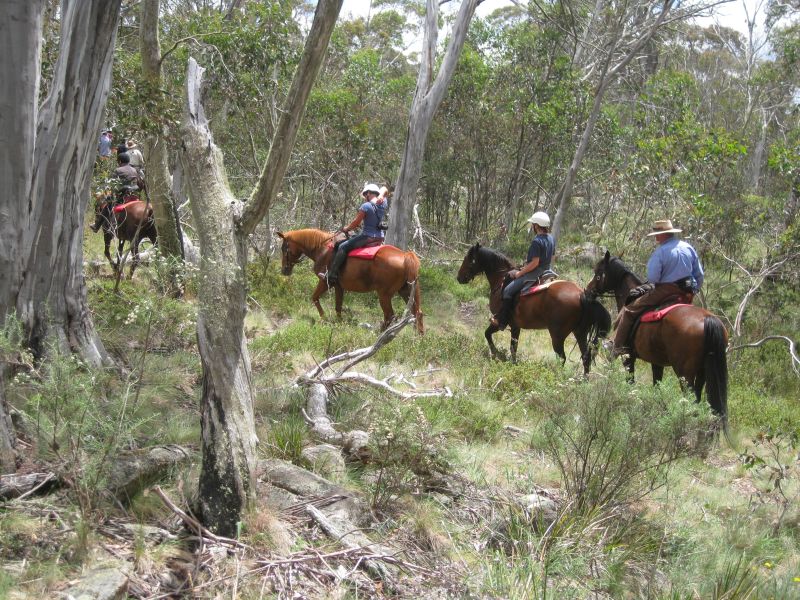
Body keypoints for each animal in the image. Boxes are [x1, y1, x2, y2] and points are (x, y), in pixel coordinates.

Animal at [276, 229, 424, 336]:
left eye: (284, 248)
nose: (284, 270)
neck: (322, 249)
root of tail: (405, 256)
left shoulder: (325, 282)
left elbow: (315, 298)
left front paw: (324, 318)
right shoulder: (338, 286)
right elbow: (338, 306)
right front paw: (339, 323)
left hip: (384, 295)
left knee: (390, 316)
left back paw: (379, 335)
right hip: (407, 291)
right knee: (417, 312)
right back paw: (418, 337)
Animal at [456, 243, 612, 372]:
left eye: (468, 259)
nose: (459, 278)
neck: (501, 280)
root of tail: (581, 294)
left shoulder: (500, 322)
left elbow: (488, 334)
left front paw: (496, 354)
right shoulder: (515, 326)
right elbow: (513, 347)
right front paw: (512, 363)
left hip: (557, 335)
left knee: (562, 358)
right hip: (580, 332)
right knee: (586, 357)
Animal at [584, 251, 728, 420]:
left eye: (598, 273)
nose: (587, 291)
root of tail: (707, 319)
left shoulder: (628, 357)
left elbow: (630, 382)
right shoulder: (657, 362)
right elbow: (657, 387)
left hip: (685, 374)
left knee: (690, 398)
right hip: (702, 372)